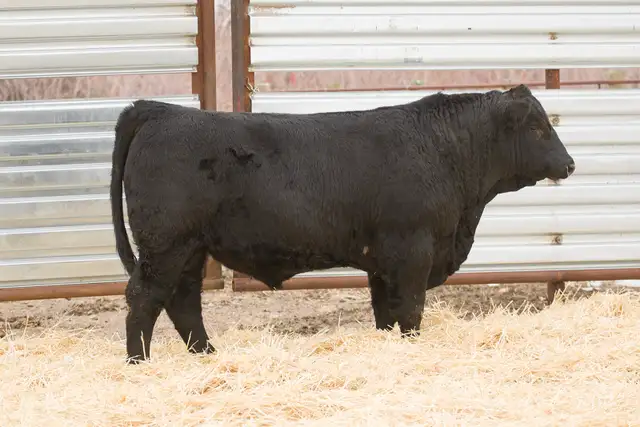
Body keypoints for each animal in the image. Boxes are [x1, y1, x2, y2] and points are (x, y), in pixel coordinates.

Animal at [110, 84, 575, 363]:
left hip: (189, 249)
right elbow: (411, 309)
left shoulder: (382, 260)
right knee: (144, 299)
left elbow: (386, 311)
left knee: (183, 302)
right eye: (537, 127)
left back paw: (207, 354)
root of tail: (157, 111)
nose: (569, 164)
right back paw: (138, 363)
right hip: (166, 245)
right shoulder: (412, 249)